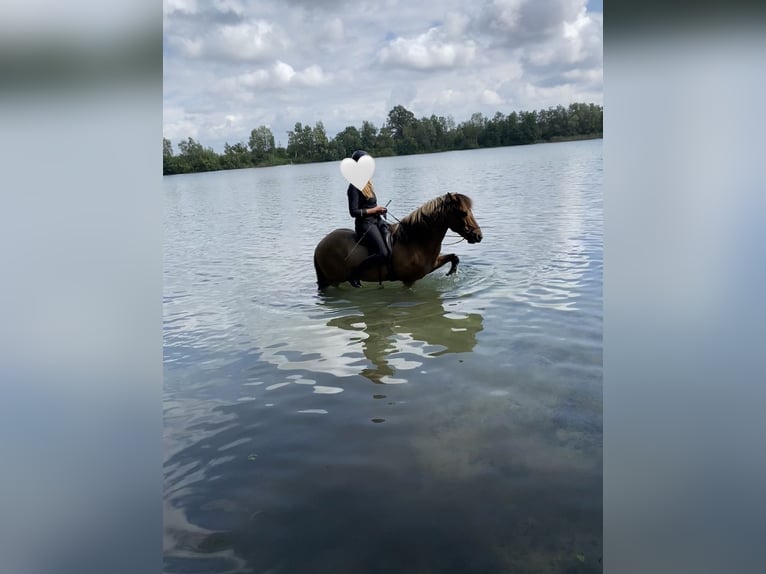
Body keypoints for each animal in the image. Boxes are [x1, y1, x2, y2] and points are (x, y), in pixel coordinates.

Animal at [314, 194, 484, 290]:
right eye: (463, 213)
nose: (478, 236)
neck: (416, 241)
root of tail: (319, 246)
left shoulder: (432, 264)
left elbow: (454, 257)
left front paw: (451, 272)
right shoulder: (409, 280)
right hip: (333, 280)